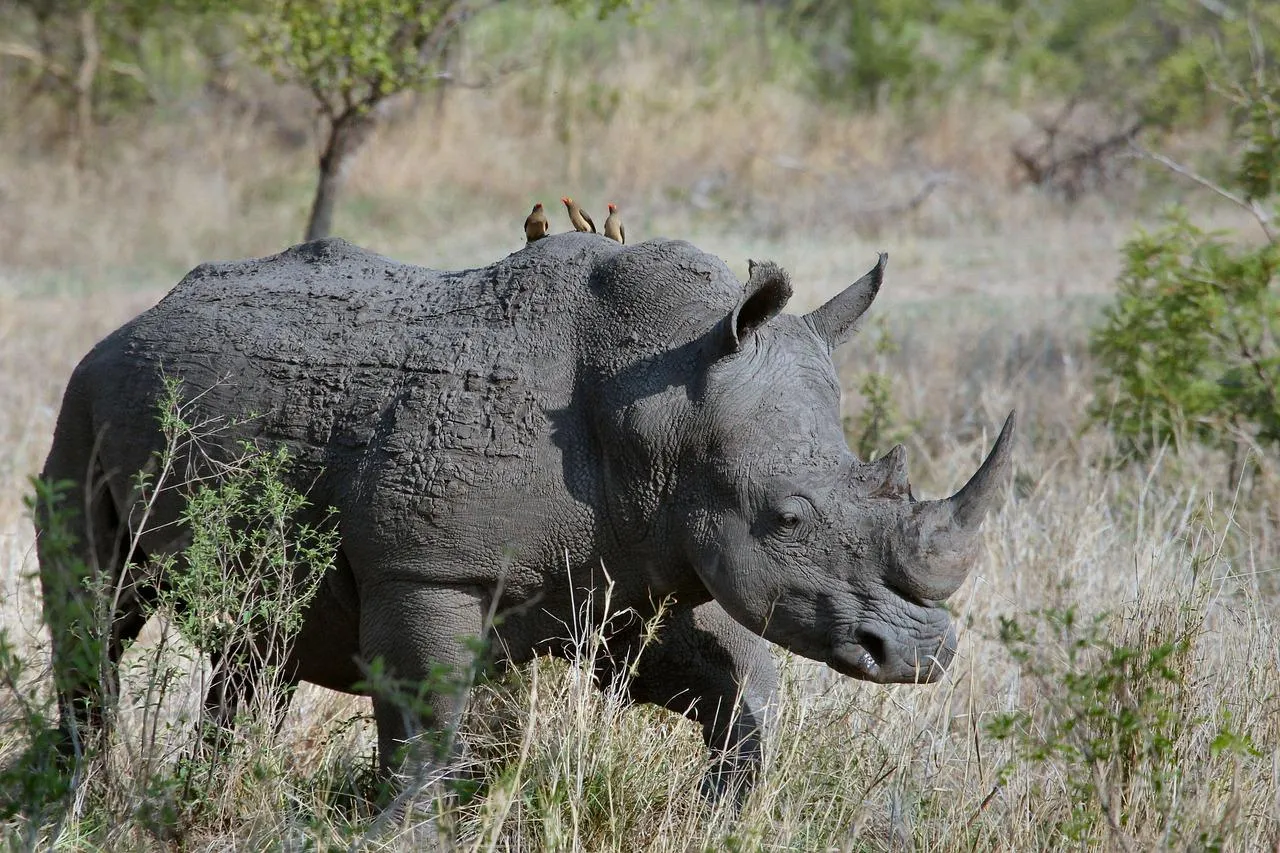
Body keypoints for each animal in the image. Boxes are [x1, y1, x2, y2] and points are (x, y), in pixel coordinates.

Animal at [36, 233, 1013, 801]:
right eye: (787, 516)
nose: (923, 655)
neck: (662, 402)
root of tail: (139, 316)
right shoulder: (427, 568)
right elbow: (427, 721)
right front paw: (405, 827)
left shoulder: (630, 564)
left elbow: (737, 684)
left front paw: (720, 812)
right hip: (82, 396)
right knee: (96, 609)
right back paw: (77, 800)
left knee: (257, 643)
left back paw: (201, 797)